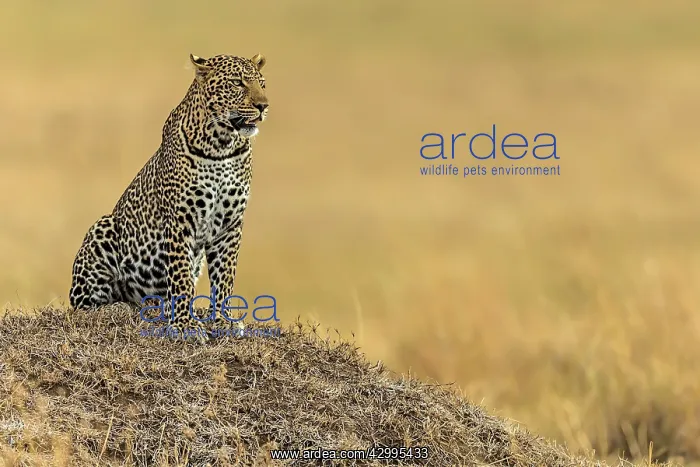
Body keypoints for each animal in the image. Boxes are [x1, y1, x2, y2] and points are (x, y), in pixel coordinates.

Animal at [69, 53, 269, 342]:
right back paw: (118, 308)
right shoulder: (180, 221)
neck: (222, 145)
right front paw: (185, 325)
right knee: (83, 305)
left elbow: (225, 277)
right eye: (236, 83)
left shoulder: (230, 225)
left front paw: (223, 320)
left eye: (262, 84)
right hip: (102, 227)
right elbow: (181, 277)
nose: (263, 106)